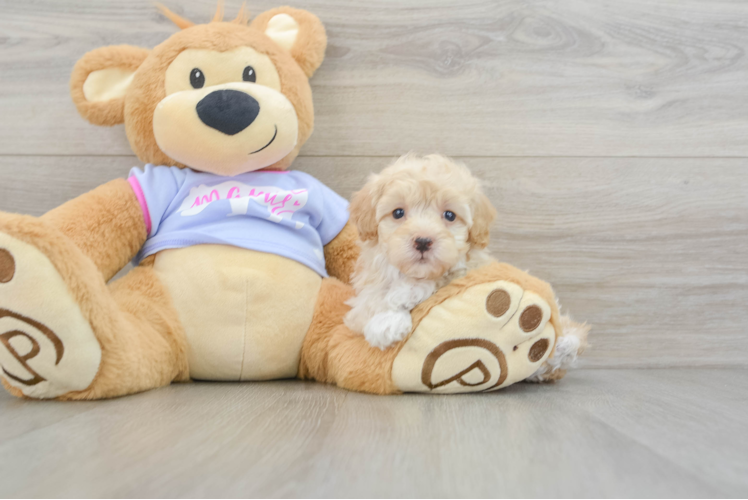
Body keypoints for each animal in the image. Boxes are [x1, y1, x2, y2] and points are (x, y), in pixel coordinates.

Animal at [344, 154, 496, 350]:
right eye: (398, 213)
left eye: (450, 215)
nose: (423, 241)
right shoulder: (364, 294)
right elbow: (370, 301)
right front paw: (387, 322)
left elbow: (443, 277)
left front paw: (404, 295)